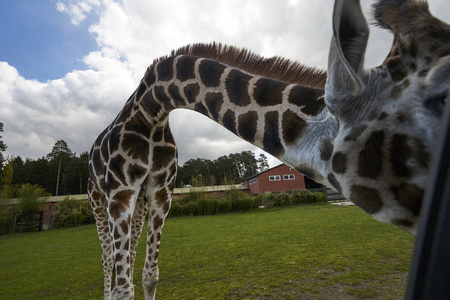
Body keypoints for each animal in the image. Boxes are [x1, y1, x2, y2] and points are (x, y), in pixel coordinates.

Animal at [88, 0, 450, 298]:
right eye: (442, 97)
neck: (152, 112)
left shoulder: (161, 195)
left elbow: (149, 275)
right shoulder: (120, 192)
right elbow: (122, 285)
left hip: (139, 203)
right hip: (100, 200)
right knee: (106, 259)